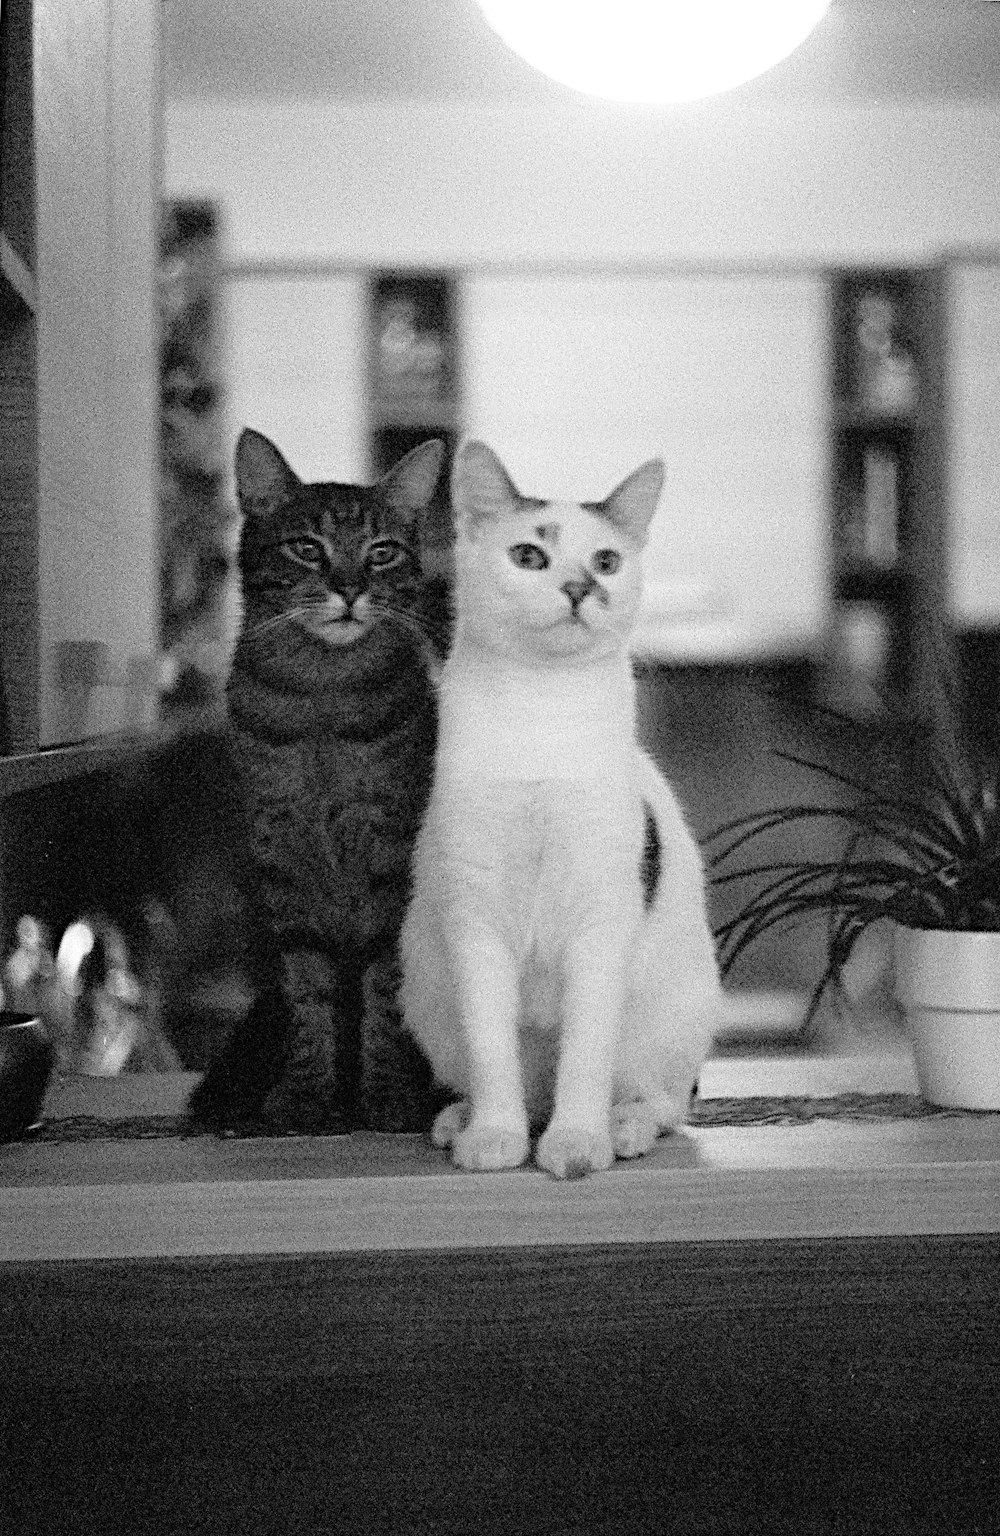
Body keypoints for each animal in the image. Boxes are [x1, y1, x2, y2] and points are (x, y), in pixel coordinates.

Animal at [186, 427, 448, 1136]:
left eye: (382, 553)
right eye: (308, 547)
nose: (350, 589)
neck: (320, 699)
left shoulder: (391, 859)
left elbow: (387, 989)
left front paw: (388, 1096)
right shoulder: (284, 864)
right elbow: (309, 995)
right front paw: (306, 1096)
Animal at [402, 439, 725, 1179]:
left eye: (606, 561)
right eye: (529, 556)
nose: (582, 587)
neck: (540, 713)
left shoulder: (602, 920)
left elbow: (587, 1052)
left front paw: (577, 1145)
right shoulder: (476, 918)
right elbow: (491, 1049)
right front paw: (494, 1137)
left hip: (673, 1014)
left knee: (663, 1101)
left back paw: (622, 1125)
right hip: (424, 985)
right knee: (507, 1080)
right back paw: (463, 1118)